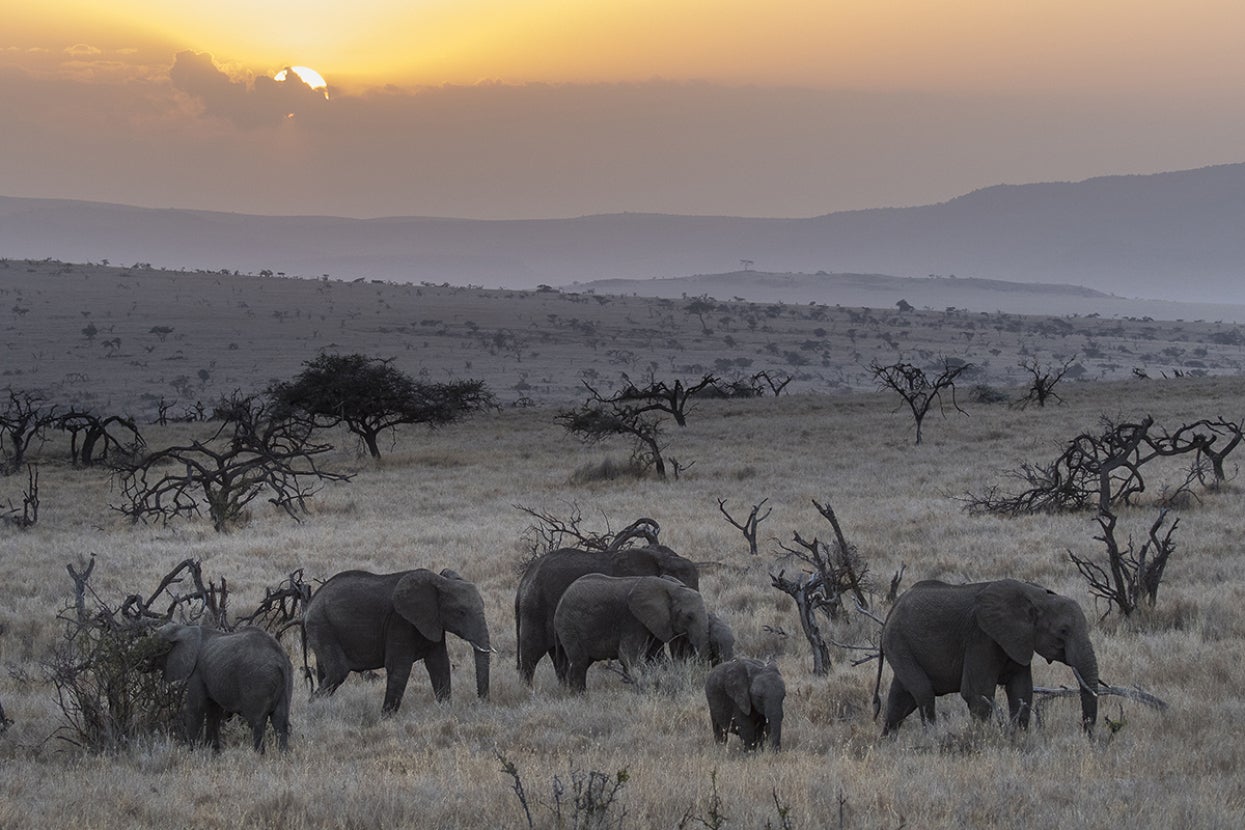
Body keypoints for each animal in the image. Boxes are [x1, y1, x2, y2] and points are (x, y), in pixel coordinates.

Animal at [151, 623, 293, 753]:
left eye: (158, 649)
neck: (183, 628)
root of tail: (280, 658)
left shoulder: (197, 673)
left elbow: (196, 708)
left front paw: (192, 753)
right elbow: (214, 712)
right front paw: (213, 752)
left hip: (258, 680)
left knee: (257, 722)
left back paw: (259, 756)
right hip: (286, 680)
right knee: (280, 721)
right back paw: (282, 756)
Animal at [304, 568, 490, 714]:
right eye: (461, 612)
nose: (480, 703)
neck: (440, 583)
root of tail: (309, 605)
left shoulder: (432, 622)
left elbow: (439, 664)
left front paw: (446, 711)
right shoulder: (400, 622)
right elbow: (400, 667)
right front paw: (385, 719)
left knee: (325, 672)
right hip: (322, 626)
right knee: (338, 671)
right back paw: (312, 709)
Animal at [515, 544, 700, 684]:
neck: (664, 559)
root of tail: (526, 577)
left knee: (559, 658)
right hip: (535, 608)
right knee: (532, 654)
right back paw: (528, 691)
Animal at [553, 573, 710, 692]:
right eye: (689, 617)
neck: (669, 587)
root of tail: (561, 599)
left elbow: (655, 656)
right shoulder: (632, 620)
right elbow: (628, 656)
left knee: (583, 662)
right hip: (569, 625)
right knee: (579, 661)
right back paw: (579, 695)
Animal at [874, 579, 1099, 736]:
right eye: (1063, 631)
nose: (1086, 733)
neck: (1037, 596)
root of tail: (893, 608)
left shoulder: (1018, 640)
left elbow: (1021, 690)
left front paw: (1019, 738)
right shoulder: (982, 637)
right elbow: (977, 692)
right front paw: (983, 737)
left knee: (901, 700)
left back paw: (887, 742)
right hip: (898, 642)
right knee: (923, 693)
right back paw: (931, 737)